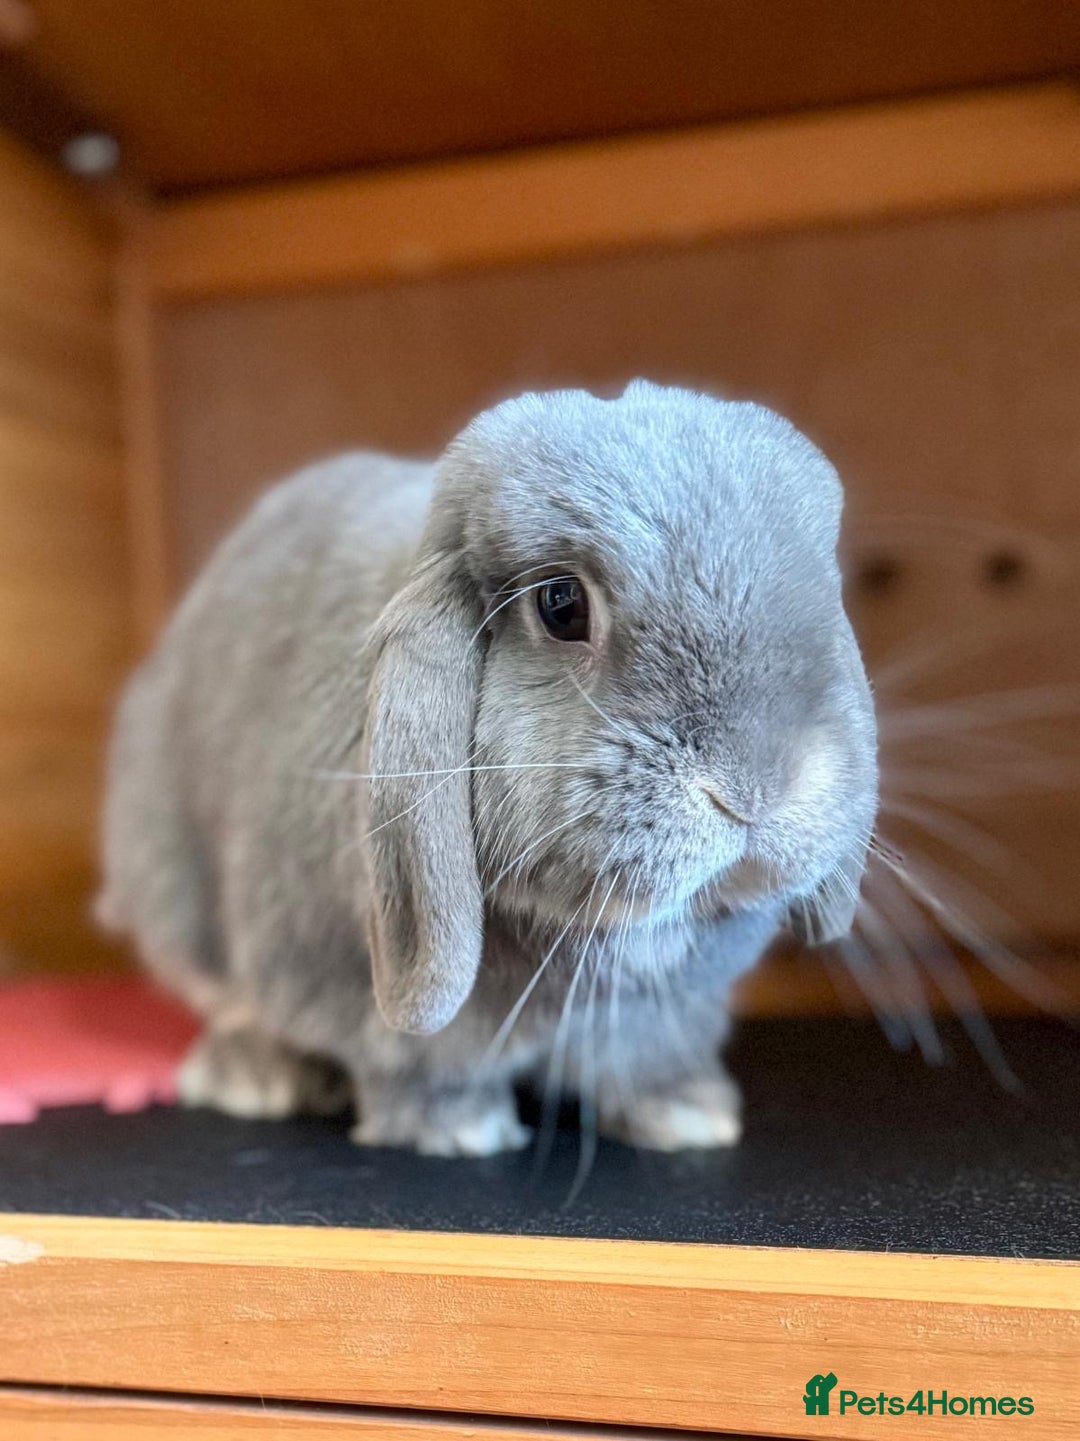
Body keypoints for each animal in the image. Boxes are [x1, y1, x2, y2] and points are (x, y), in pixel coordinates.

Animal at [99, 381, 878, 1156]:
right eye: (560, 603)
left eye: (822, 583)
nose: (755, 788)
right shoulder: (354, 988)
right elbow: (411, 1059)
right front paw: (457, 1130)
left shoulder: (663, 1013)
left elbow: (648, 1056)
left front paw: (689, 1114)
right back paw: (258, 1076)